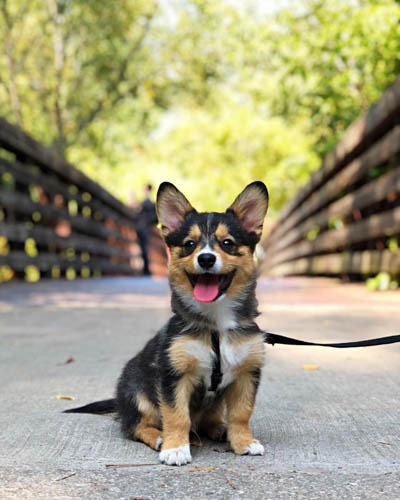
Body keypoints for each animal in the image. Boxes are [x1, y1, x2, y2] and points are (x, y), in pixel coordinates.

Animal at [65, 182, 268, 466]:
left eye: (227, 243)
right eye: (190, 244)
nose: (206, 259)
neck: (215, 325)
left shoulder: (247, 373)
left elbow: (241, 413)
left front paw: (244, 442)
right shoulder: (174, 376)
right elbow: (176, 416)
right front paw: (175, 448)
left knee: (209, 419)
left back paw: (219, 429)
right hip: (138, 395)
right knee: (135, 427)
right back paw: (159, 437)